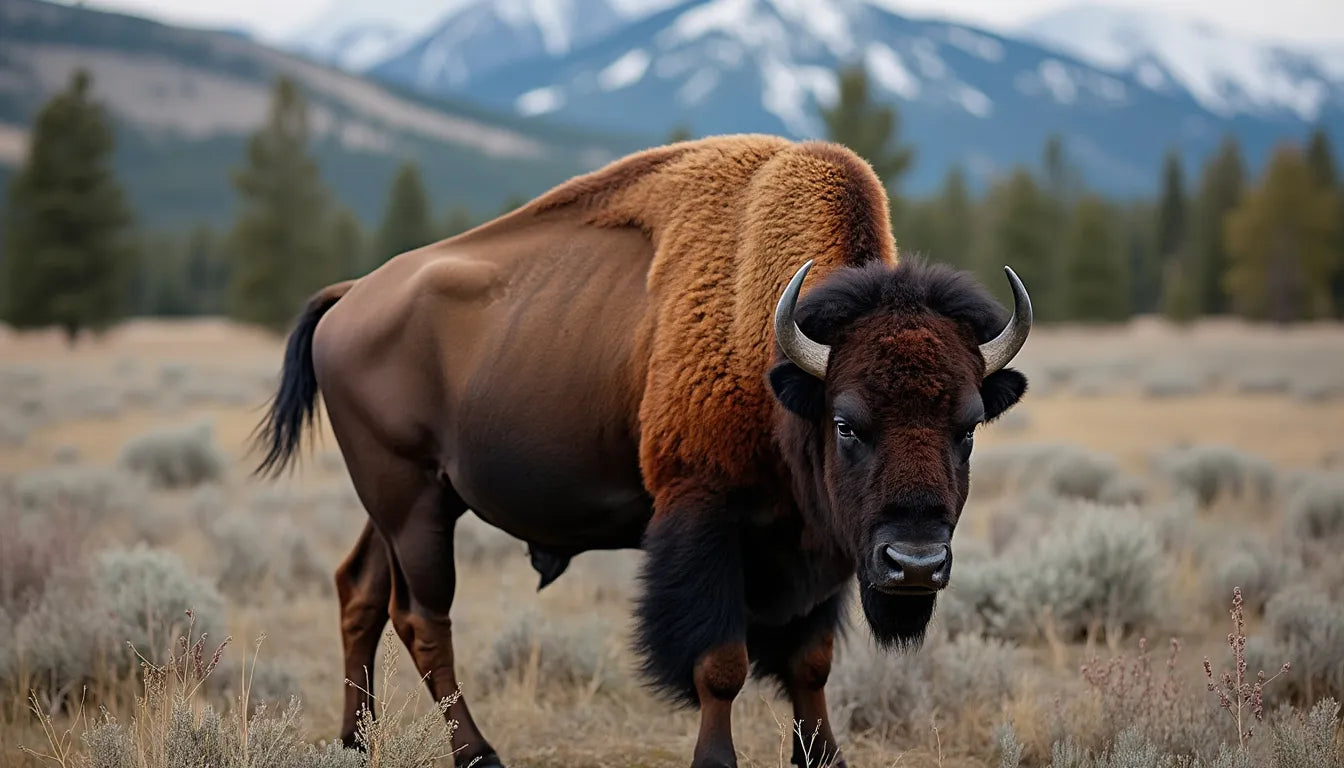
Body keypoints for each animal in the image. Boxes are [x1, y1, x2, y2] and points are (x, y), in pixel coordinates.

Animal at [256, 135, 1031, 768]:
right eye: (847, 424)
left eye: (967, 427)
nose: (916, 565)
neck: (775, 356)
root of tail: (352, 296)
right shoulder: (706, 515)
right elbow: (721, 663)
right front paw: (714, 761)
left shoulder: (822, 545)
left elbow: (811, 664)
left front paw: (827, 760)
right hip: (412, 500)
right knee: (424, 620)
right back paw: (479, 755)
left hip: (399, 504)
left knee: (359, 592)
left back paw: (355, 744)